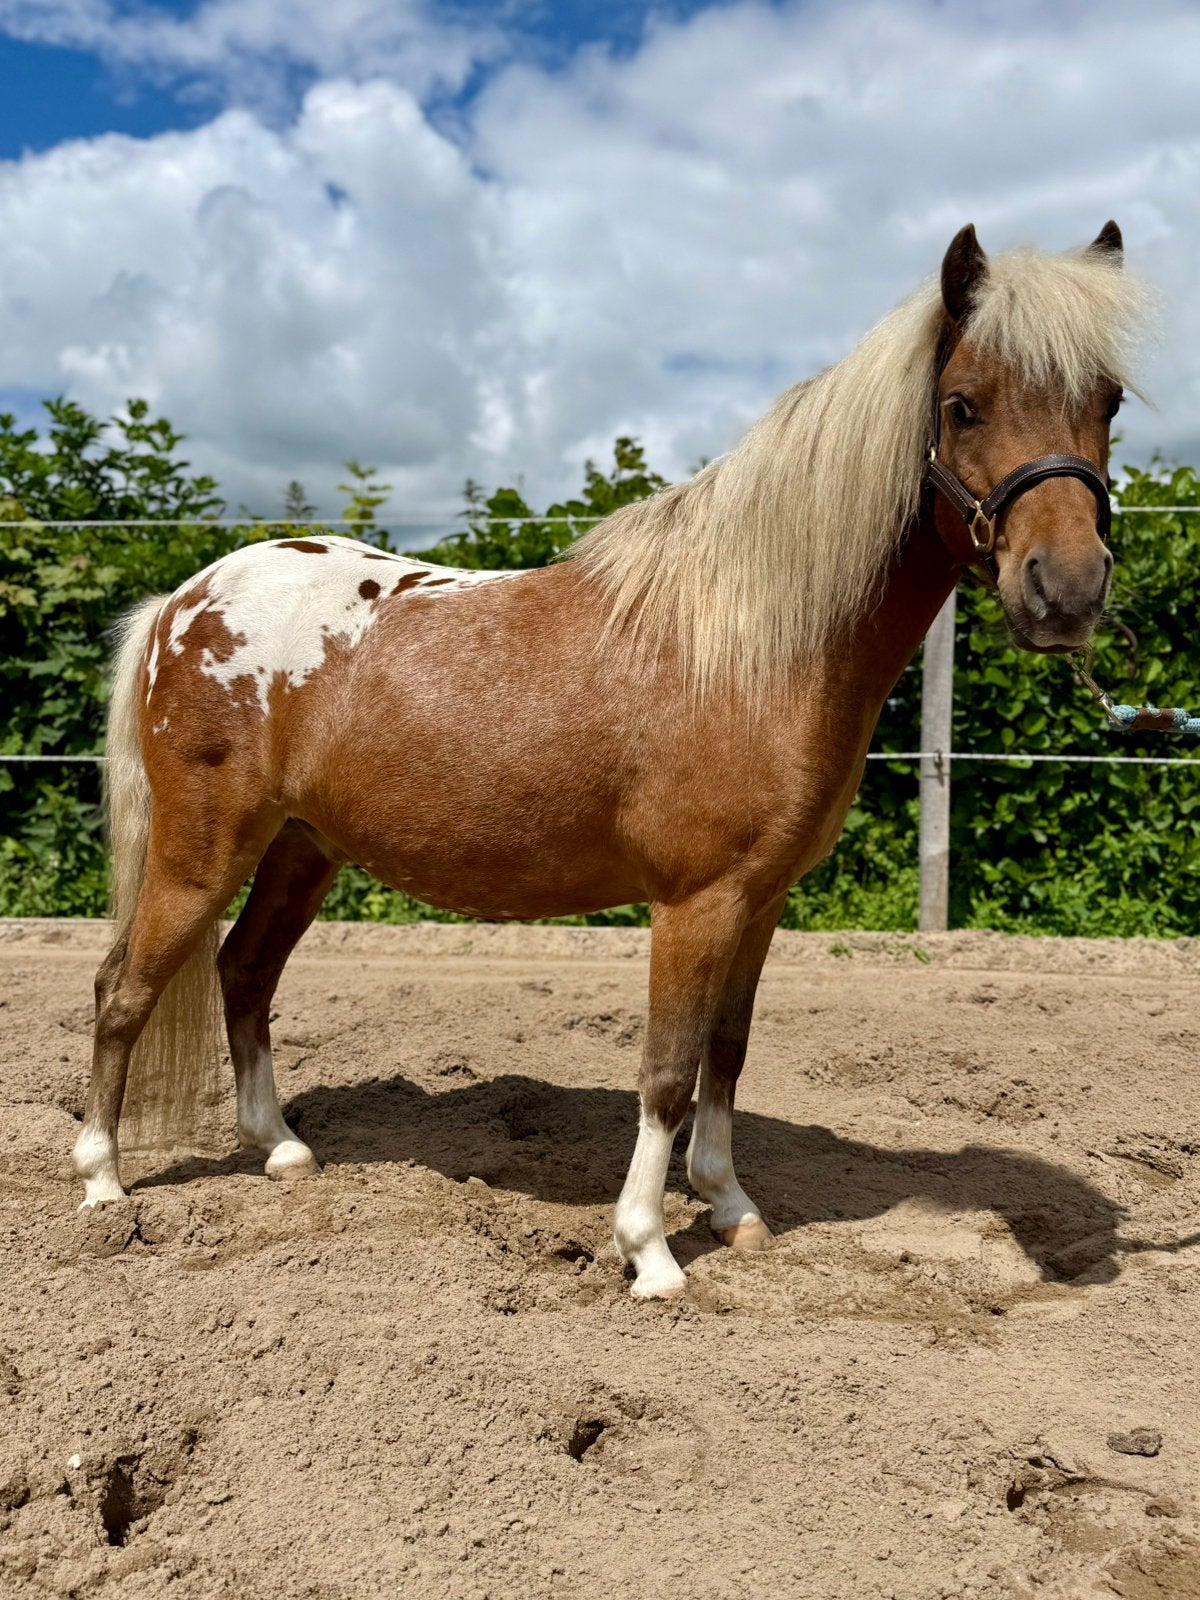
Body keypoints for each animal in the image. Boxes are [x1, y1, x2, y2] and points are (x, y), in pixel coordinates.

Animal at [74, 221, 1150, 1299]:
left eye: (1109, 403)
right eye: (963, 404)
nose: (1067, 591)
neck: (752, 644)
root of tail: (181, 602)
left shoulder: (761, 900)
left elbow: (727, 1052)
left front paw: (731, 1207)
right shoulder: (694, 903)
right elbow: (667, 1071)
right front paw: (650, 1251)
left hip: (303, 849)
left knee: (244, 971)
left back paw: (282, 1149)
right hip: (202, 851)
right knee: (124, 988)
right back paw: (103, 1185)